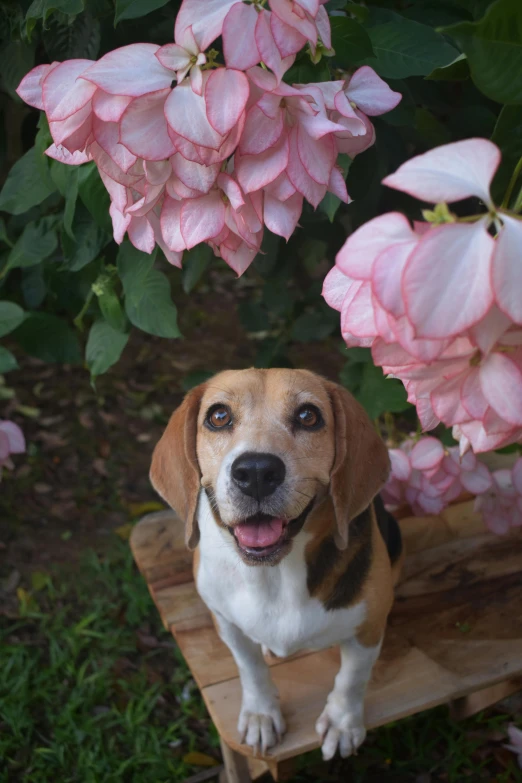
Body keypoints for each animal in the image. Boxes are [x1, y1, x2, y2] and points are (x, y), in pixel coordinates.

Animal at [150, 370, 402, 764]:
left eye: (308, 416)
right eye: (218, 416)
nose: (255, 471)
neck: (274, 573)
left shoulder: (367, 629)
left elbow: (351, 679)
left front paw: (343, 723)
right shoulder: (225, 622)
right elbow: (250, 668)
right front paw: (260, 715)